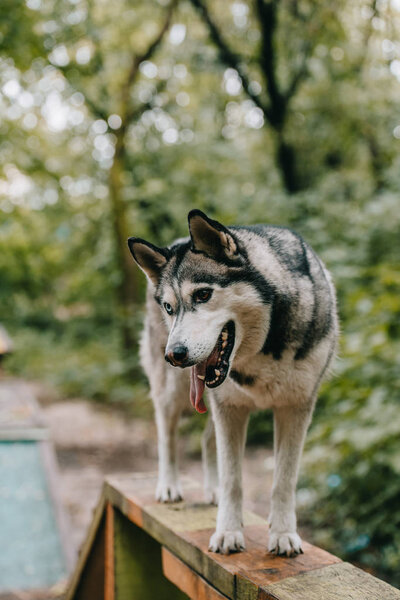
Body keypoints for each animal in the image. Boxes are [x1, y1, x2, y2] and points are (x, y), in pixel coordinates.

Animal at [128, 209, 338, 556]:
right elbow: (233, 480)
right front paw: (228, 532)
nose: (174, 355)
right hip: (172, 394)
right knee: (167, 437)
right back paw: (169, 486)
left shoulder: (295, 408)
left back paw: (210, 490)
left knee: (206, 441)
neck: (263, 351)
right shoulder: (230, 408)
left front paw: (283, 534)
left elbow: (284, 480)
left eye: (203, 295)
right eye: (170, 308)